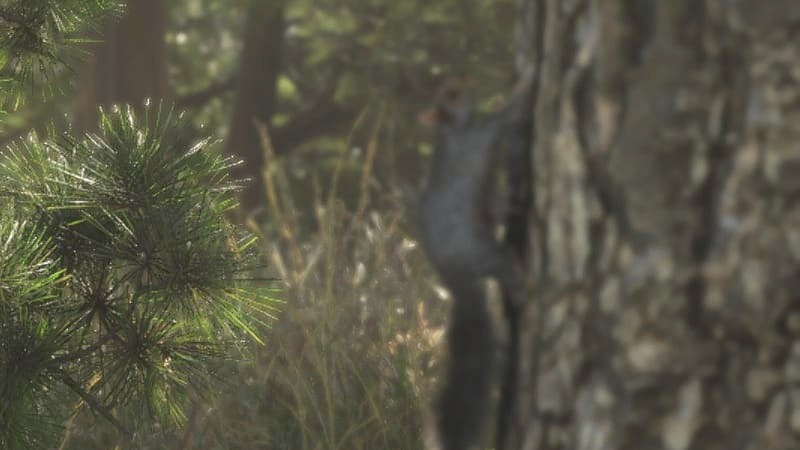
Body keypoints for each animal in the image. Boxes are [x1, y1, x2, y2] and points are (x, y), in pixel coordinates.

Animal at [418, 75, 532, 450]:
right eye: (451, 95)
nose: (469, 82)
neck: (456, 129)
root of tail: (455, 280)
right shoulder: (484, 133)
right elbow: (508, 114)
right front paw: (522, 86)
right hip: (486, 252)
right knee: (508, 271)